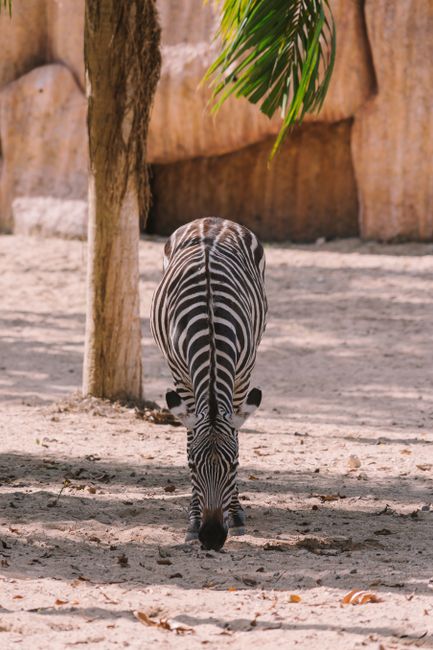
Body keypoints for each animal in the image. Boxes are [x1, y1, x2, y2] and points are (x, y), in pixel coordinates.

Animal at [150, 217, 267, 551]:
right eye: (191, 466)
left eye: (234, 465)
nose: (212, 537)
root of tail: (211, 221)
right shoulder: (180, 373)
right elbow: (190, 436)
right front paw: (192, 520)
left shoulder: (243, 371)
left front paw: (236, 514)